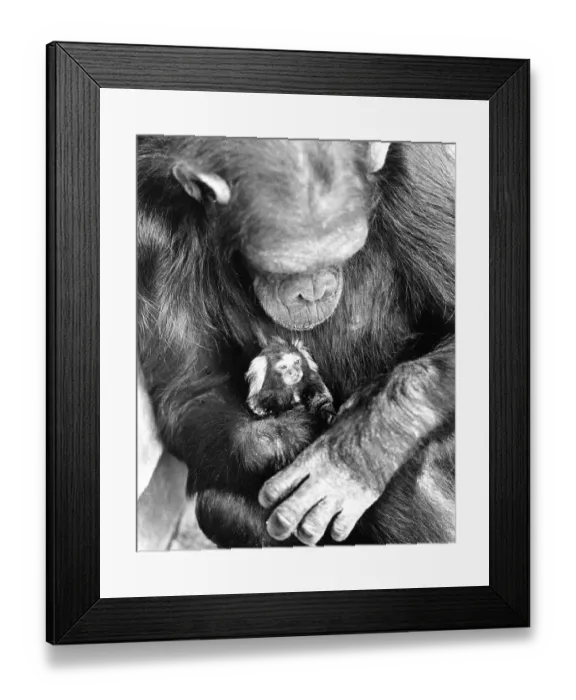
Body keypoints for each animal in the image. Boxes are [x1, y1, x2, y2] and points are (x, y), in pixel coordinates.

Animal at [137, 136, 455, 548]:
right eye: (283, 266)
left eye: (344, 251)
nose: (314, 290)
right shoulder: (152, 226)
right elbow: (192, 392)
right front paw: (299, 433)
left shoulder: (421, 174)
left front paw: (349, 455)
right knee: (218, 506)